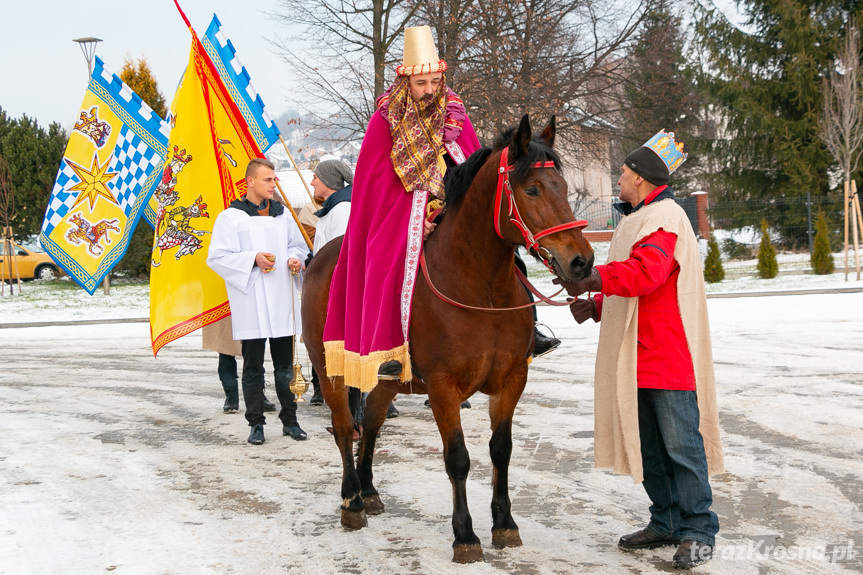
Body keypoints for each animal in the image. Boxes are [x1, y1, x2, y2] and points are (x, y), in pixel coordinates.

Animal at [302, 116, 592, 564]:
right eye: (532, 189)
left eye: (562, 185)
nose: (582, 261)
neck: (481, 288)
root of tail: (321, 258)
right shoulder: (443, 387)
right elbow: (458, 458)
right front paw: (465, 535)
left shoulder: (511, 380)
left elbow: (501, 450)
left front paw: (504, 524)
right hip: (329, 369)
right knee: (343, 425)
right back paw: (352, 500)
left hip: (388, 379)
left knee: (372, 421)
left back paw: (369, 490)